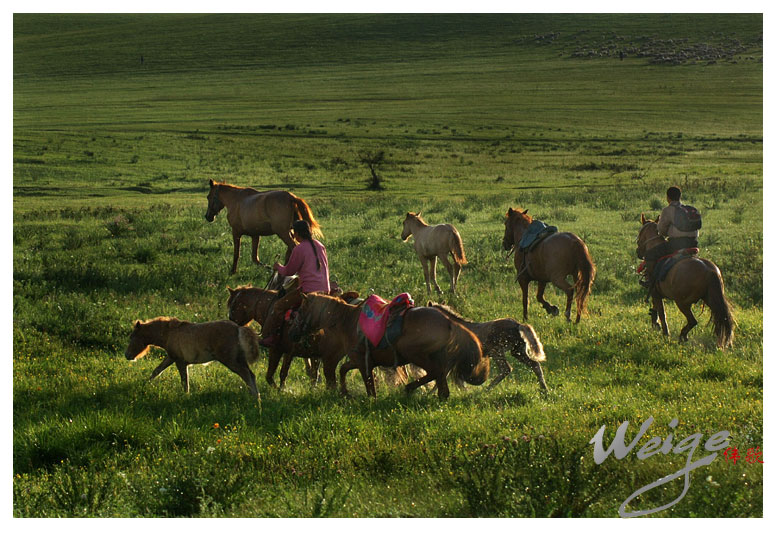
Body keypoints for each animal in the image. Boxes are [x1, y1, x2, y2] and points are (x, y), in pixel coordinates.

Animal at [123, 316, 260, 398]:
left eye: (132, 337)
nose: (127, 355)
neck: (169, 333)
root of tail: (238, 328)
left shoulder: (180, 361)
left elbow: (184, 381)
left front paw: (186, 396)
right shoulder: (171, 357)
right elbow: (157, 370)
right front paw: (145, 384)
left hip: (229, 360)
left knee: (245, 374)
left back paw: (255, 398)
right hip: (239, 359)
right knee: (251, 375)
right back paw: (255, 396)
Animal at [290, 294, 490, 402]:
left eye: (300, 310)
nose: (292, 332)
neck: (347, 320)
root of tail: (449, 321)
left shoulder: (363, 362)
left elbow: (369, 385)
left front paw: (369, 399)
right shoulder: (360, 360)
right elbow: (343, 369)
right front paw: (345, 393)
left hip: (416, 354)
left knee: (435, 373)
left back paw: (410, 388)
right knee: (440, 379)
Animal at [636, 213, 736, 348]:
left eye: (640, 233)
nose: (638, 252)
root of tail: (709, 271)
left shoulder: (655, 292)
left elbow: (661, 312)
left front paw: (664, 332)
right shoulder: (656, 293)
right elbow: (656, 307)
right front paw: (655, 322)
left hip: (682, 303)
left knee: (693, 321)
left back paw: (682, 336)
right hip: (711, 300)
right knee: (721, 319)